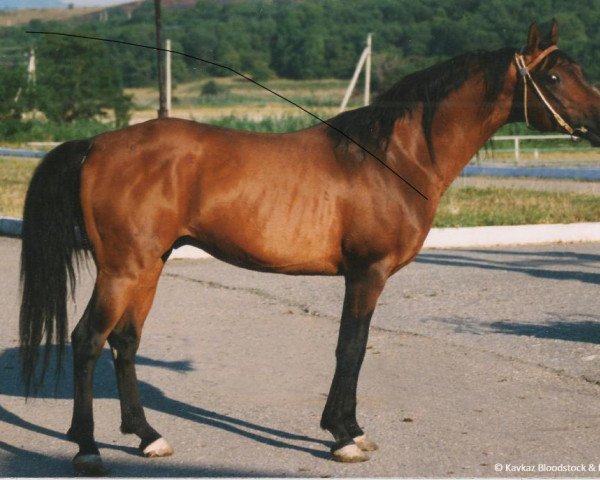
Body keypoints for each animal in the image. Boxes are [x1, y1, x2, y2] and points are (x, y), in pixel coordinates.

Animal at [18, 20, 600, 474]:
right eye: (553, 76)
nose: (598, 122)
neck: (392, 157)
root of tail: (96, 143)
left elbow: (354, 347)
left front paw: (349, 429)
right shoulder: (367, 273)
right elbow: (352, 347)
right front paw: (344, 435)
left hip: (149, 265)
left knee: (125, 342)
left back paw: (147, 436)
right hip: (123, 268)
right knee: (87, 340)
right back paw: (87, 448)